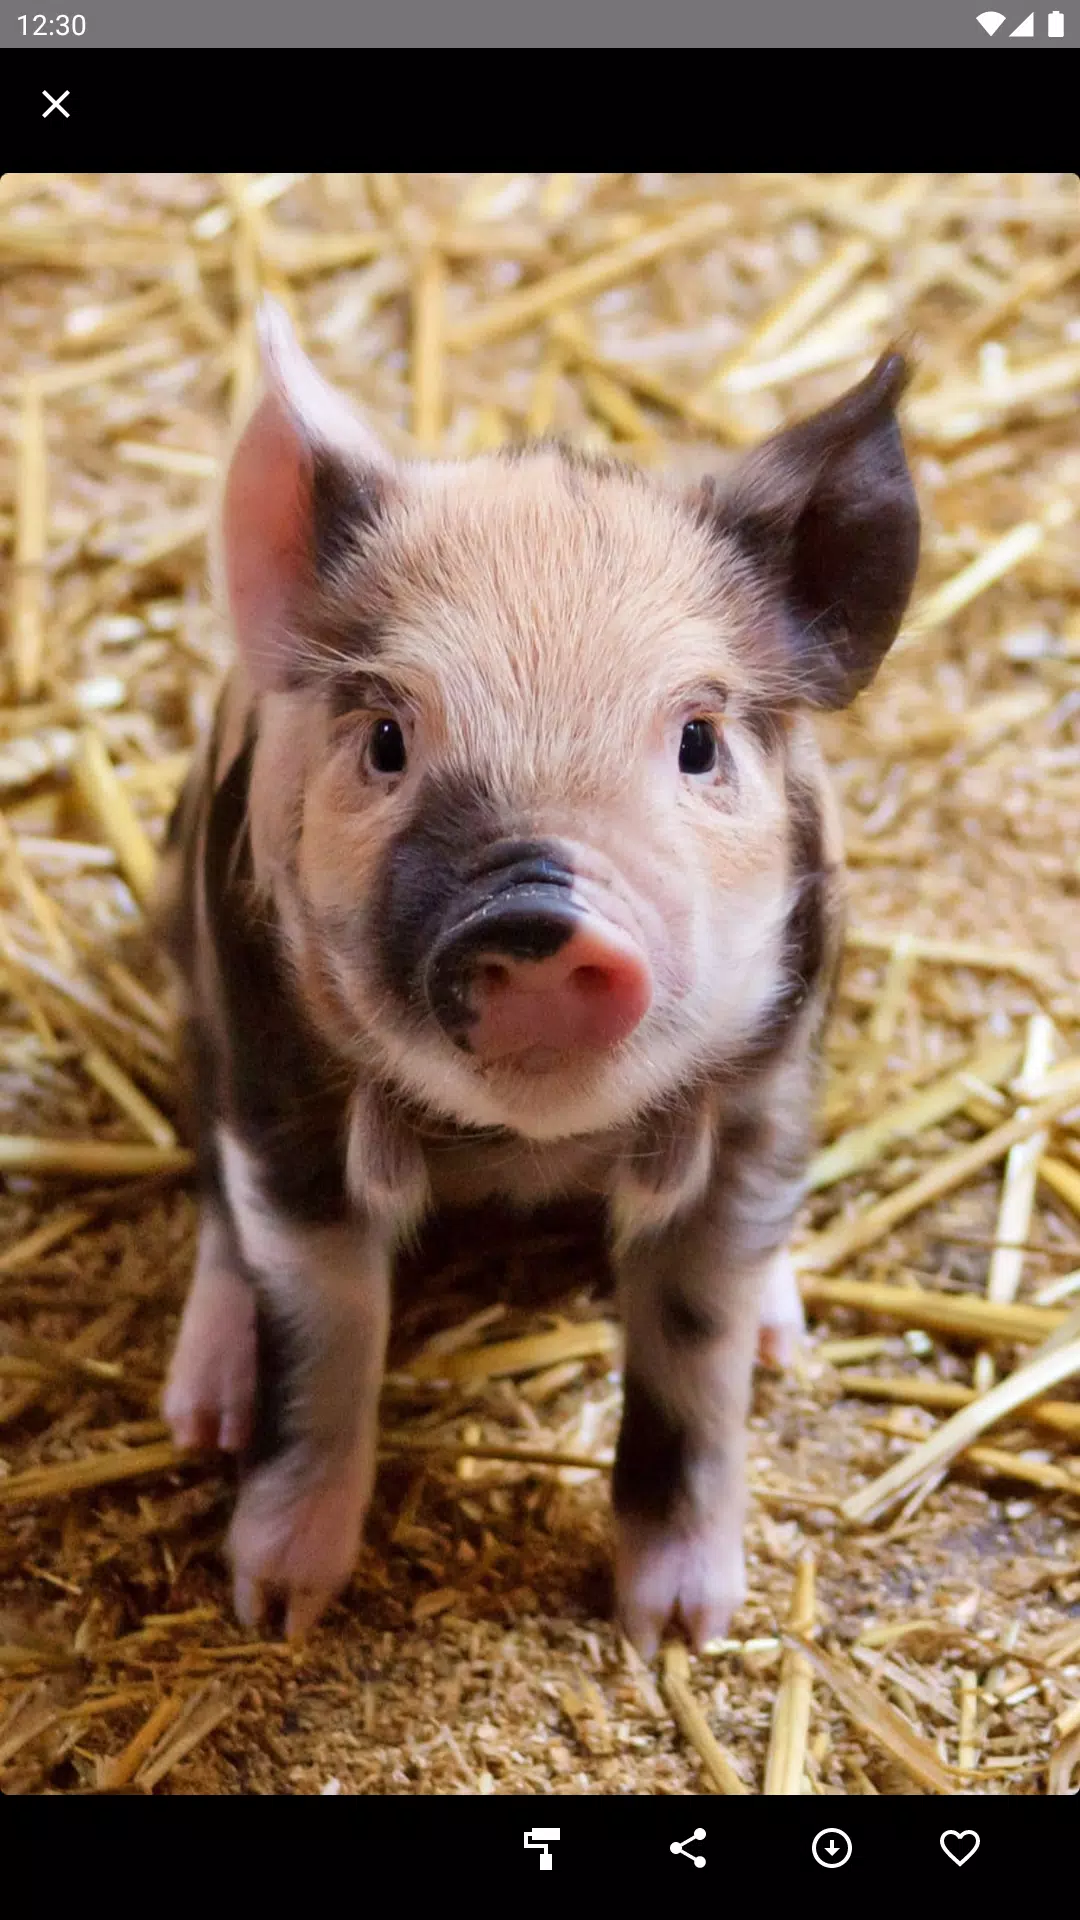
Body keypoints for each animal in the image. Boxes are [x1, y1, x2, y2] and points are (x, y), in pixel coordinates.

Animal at [158, 300, 919, 1654]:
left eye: (698, 742)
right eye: (387, 739)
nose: (534, 915)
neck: (525, 1150)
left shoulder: (768, 1090)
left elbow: (697, 1346)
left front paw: (680, 1631)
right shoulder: (276, 1077)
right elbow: (325, 1329)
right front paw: (276, 1606)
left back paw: (788, 1343)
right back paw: (200, 1414)